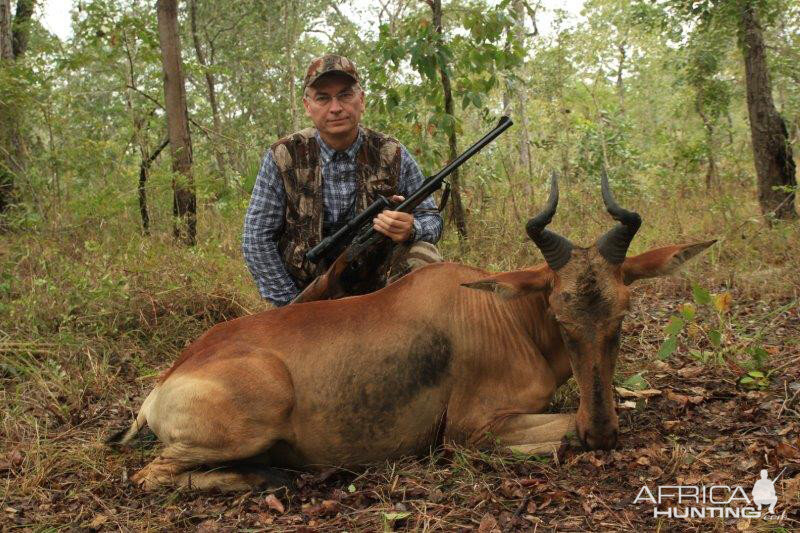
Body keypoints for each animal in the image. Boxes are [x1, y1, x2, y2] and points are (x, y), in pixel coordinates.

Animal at [109, 171, 716, 490]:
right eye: (560, 315)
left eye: (621, 315)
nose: (602, 432)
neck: (498, 313)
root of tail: (164, 383)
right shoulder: (469, 430)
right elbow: (560, 432)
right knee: (151, 476)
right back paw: (277, 479)